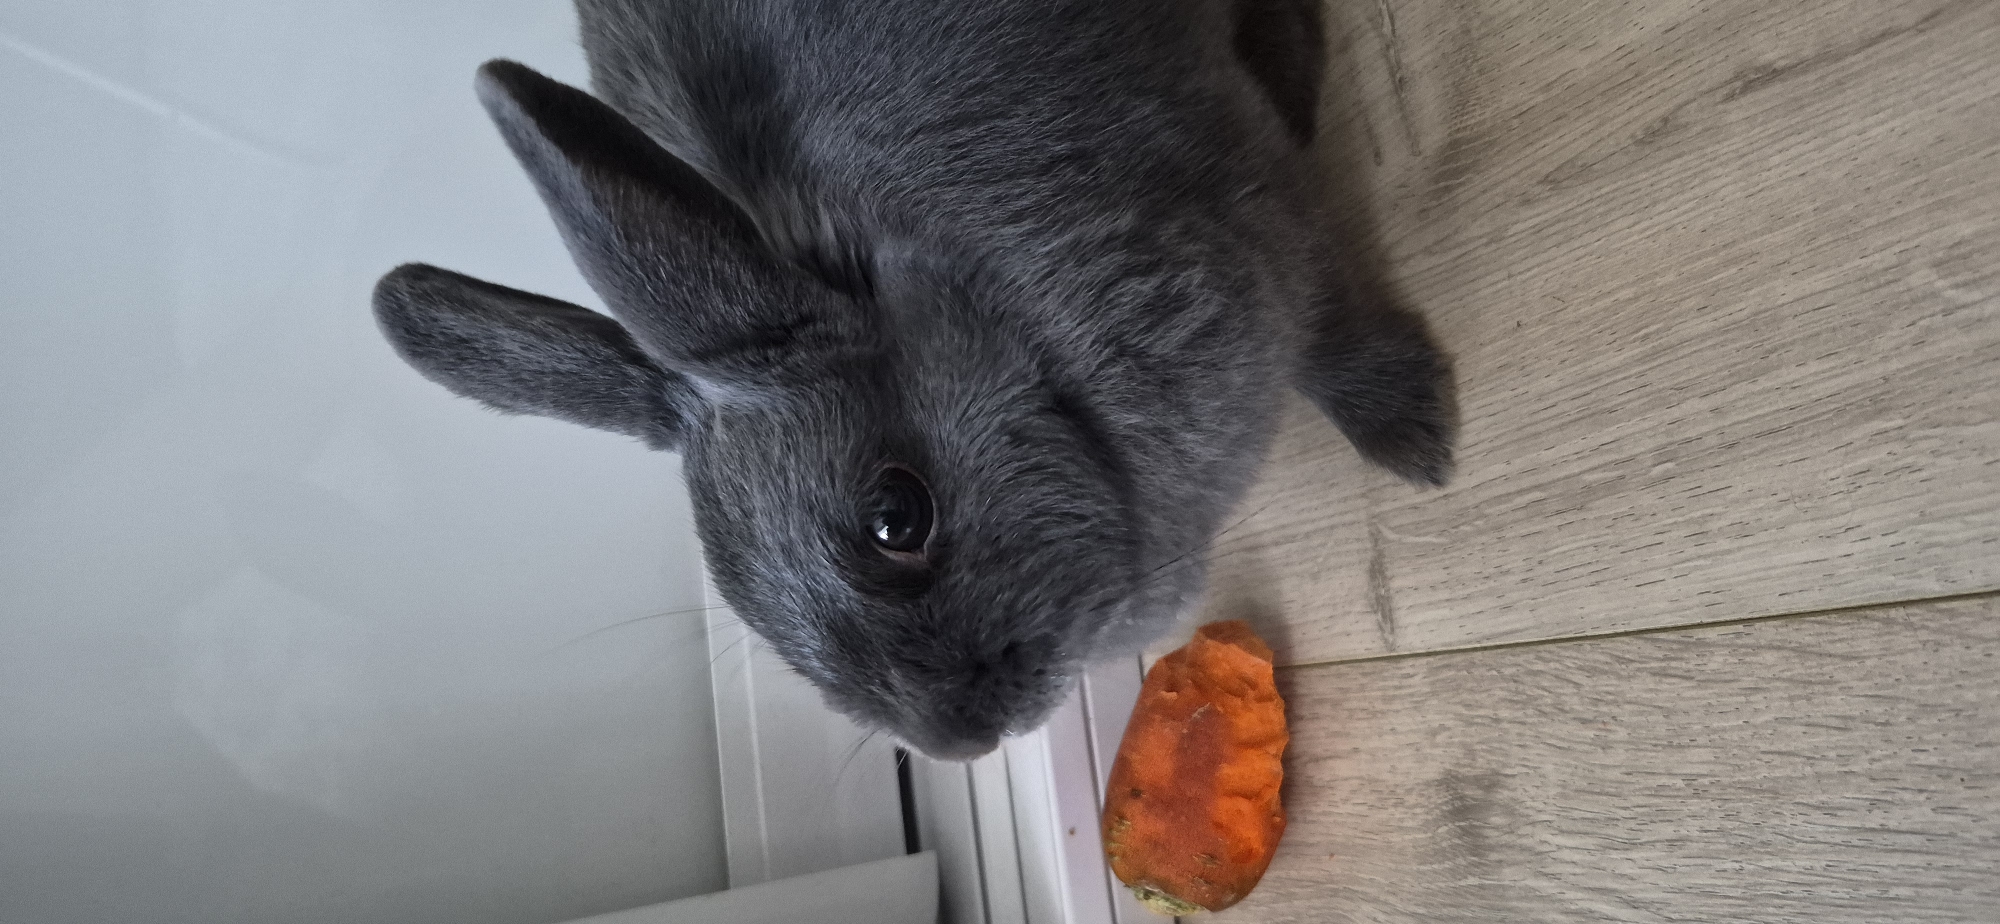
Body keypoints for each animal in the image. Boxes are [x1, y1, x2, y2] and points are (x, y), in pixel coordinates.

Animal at [372, 0, 1454, 760]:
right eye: (747, 608)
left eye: (896, 517)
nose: (961, 741)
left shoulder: (1244, 200)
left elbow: (1327, 330)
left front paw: (1418, 437)